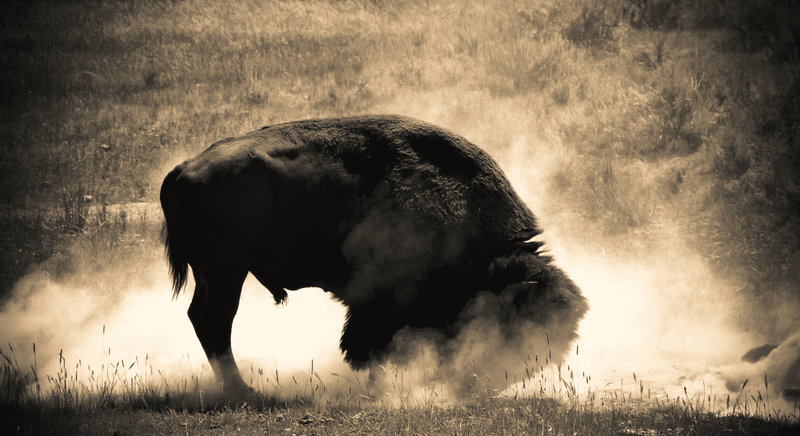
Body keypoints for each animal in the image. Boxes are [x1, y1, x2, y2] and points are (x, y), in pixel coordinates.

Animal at [161, 114, 588, 396]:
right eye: (515, 327)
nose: (490, 384)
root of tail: (183, 169)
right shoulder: (382, 301)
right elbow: (372, 344)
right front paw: (378, 387)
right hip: (226, 271)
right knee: (216, 320)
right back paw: (245, 391)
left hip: (216, 273)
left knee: (203, 318)